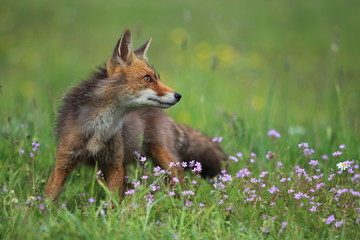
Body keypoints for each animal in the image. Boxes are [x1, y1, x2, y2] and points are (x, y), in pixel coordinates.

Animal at [45, 28, 225, 201]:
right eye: (148, 78)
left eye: (158, 78)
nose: (178, 96)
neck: (99, 128)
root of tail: (166, 117)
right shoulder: (64, 161)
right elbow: (49, 196)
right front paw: (43, 211)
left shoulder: (115, 164)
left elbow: (112, 201)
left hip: (165, 159)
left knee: (182, 185)